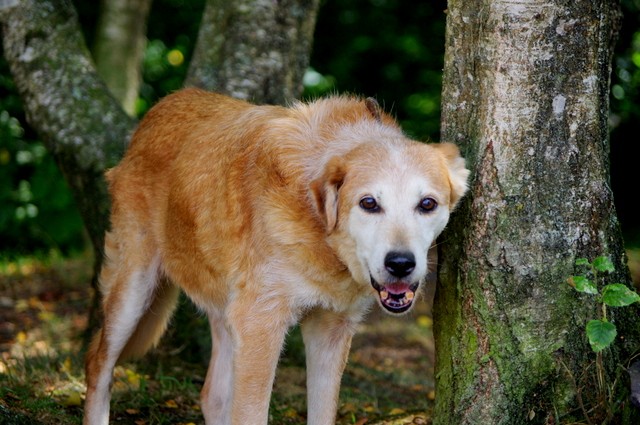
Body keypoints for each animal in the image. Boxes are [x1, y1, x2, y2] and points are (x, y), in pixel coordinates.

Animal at [82, 88, 468, 422]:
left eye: (427, 204)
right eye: (369, 203)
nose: (400, 264)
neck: (319, 233)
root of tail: (160, 108)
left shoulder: (329, 330)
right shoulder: (262, 325)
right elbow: (251, 414)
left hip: (226, 313)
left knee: (212, 396)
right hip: (134, 290)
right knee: (98, 362)